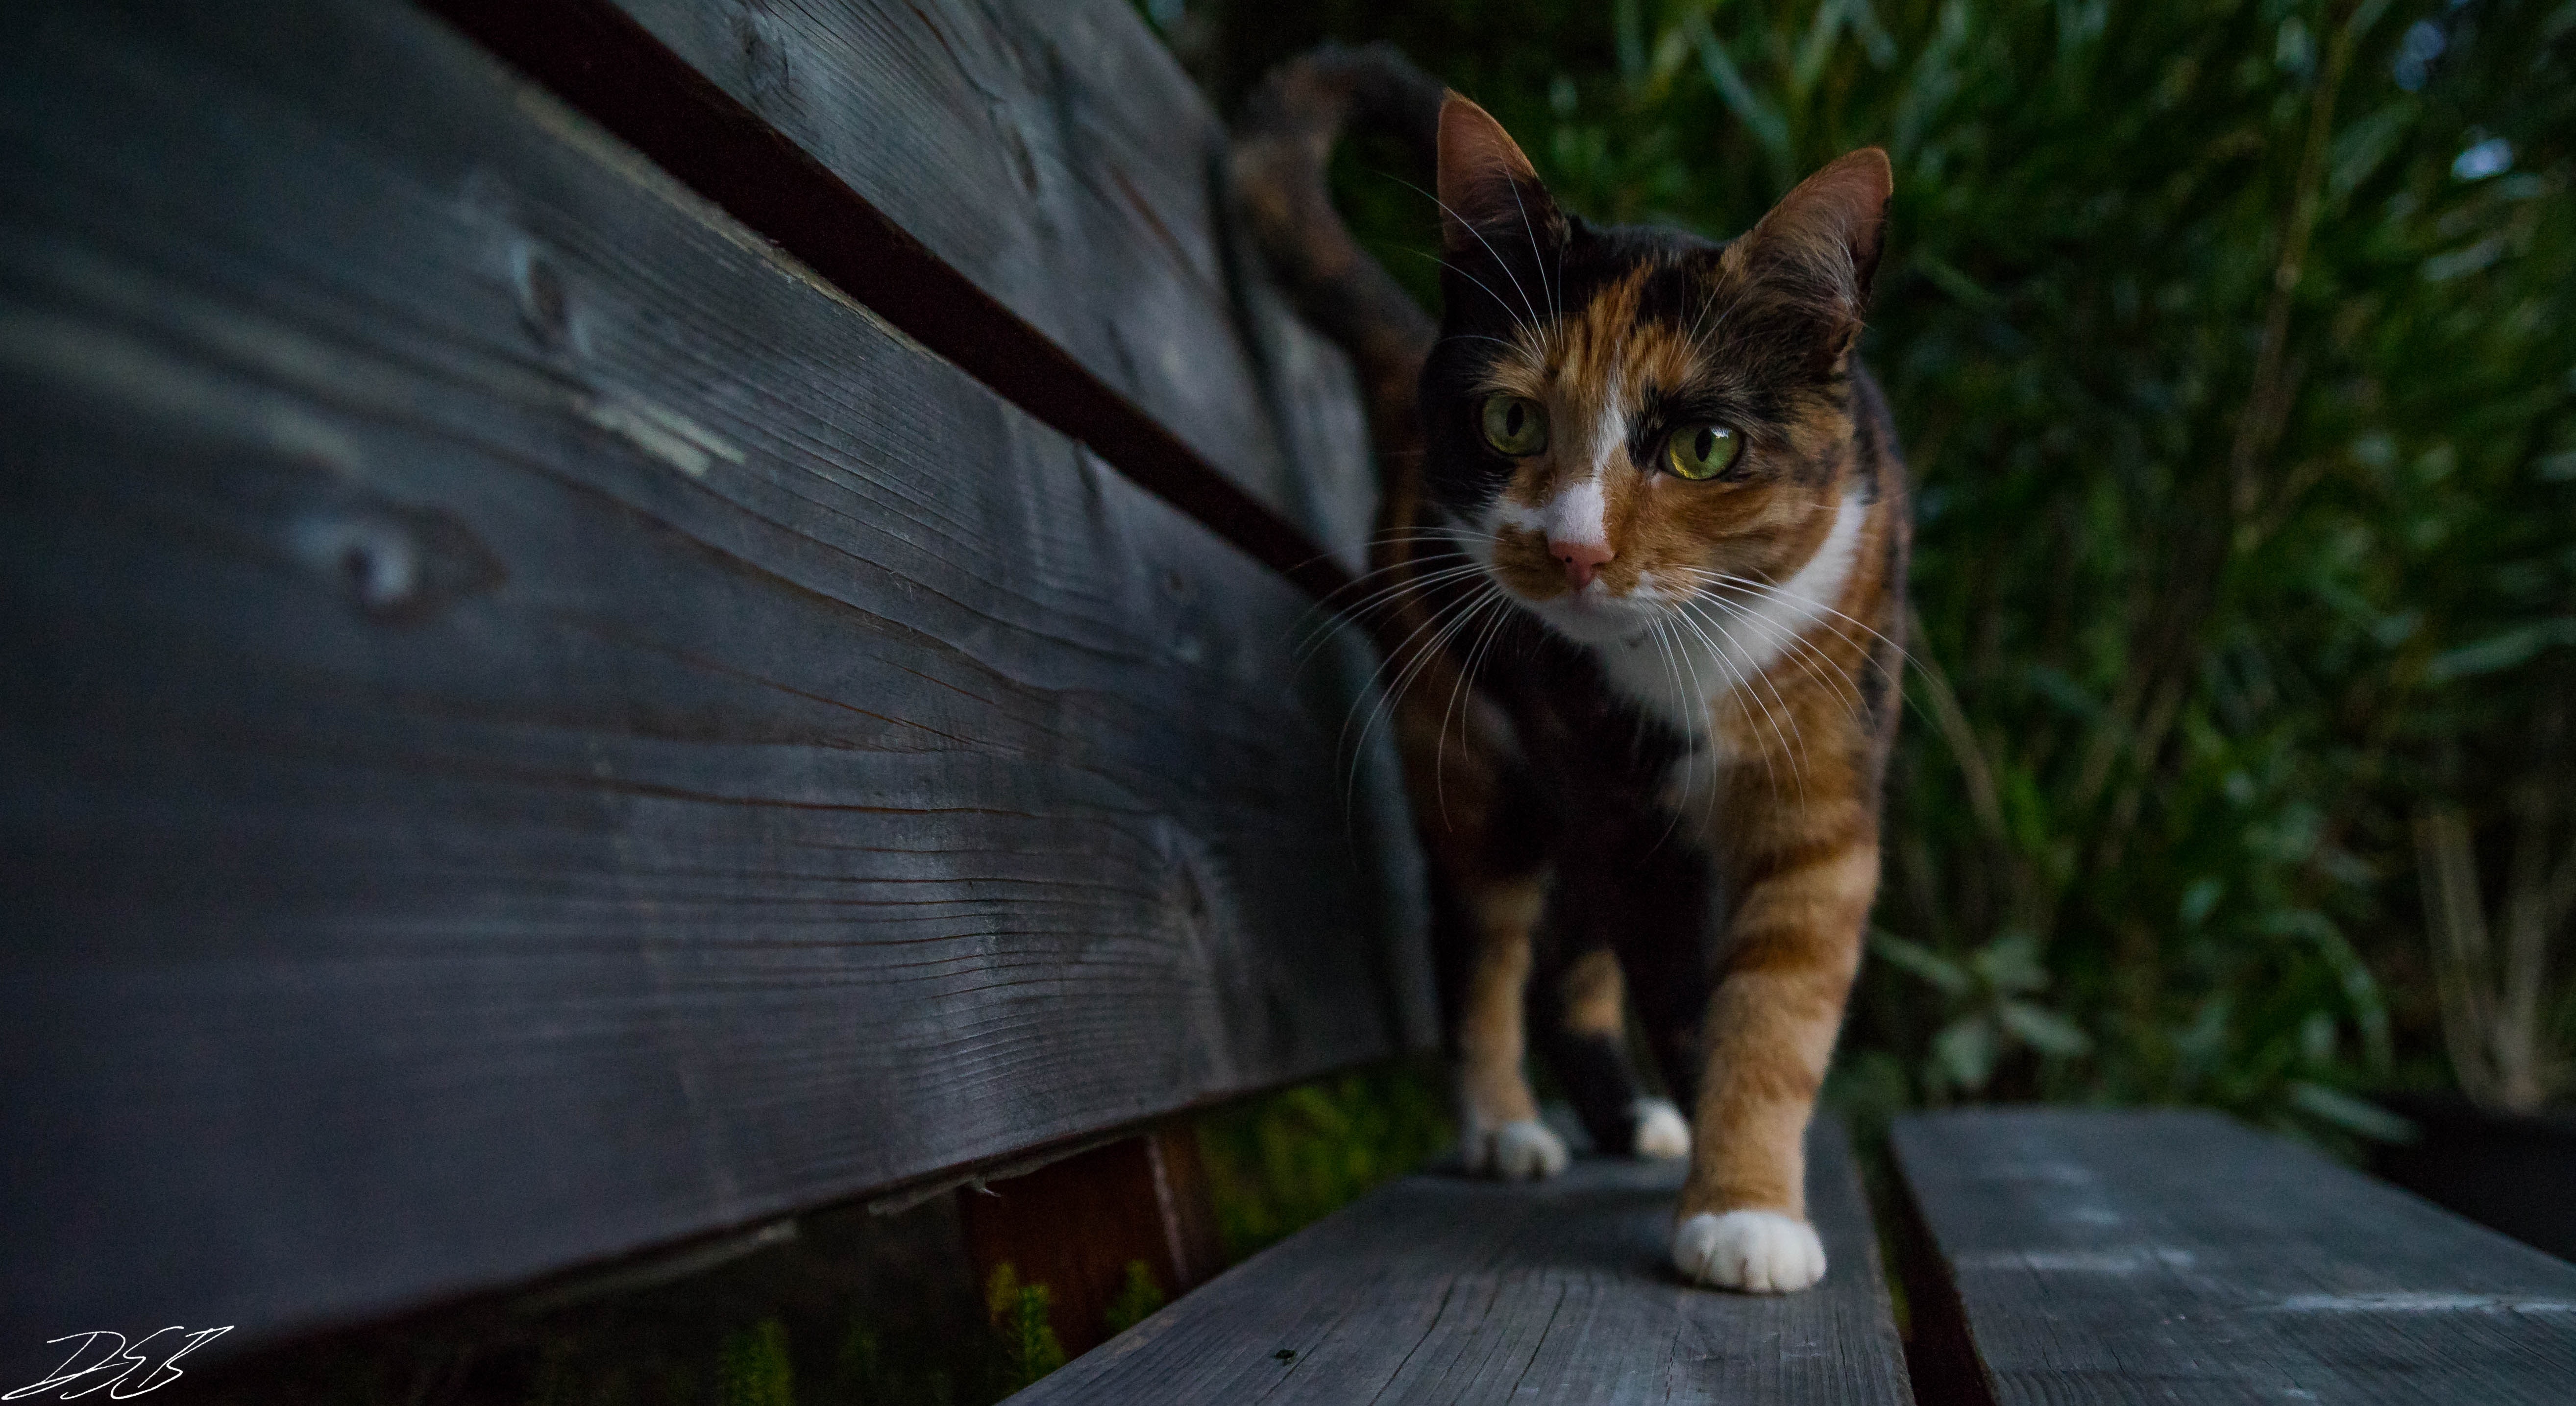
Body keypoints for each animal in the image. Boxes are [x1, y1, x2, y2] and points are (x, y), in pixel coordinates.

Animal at [1236, 44, 1906, 1292]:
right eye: (1509, 421)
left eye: (1704, 445)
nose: (1573, 547)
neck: (1696, 651)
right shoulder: (1615, 793)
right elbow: (1684, 996)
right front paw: (1732, 1207)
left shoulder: (1824, 777)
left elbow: (1781, 994)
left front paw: (1749, 1201)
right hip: (1469, 742)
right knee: (1488, 940)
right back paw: (1508, 1126)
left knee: (1570, 960)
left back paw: (1630, 1119)